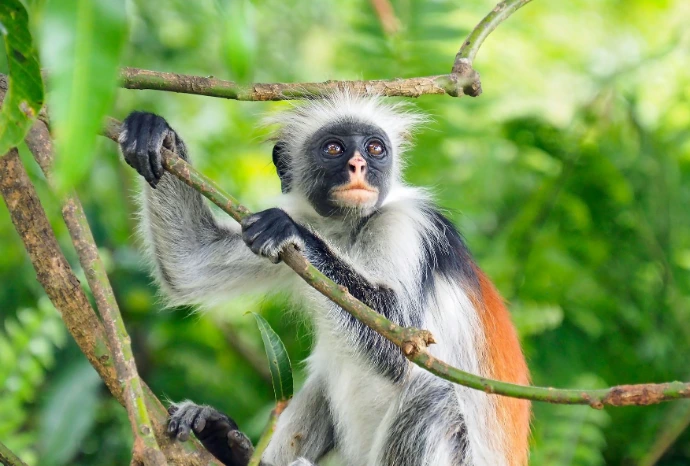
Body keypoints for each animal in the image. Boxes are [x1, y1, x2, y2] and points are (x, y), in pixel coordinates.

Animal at [118, 92, 531, 466]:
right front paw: (157, 134)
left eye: (375, 148)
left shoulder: (406, 223)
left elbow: (405, 346)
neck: (350, 230)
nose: (358, 164)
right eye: (334, 148)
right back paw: (234, 449)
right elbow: (188, 265)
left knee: (435, 395)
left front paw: (293, 232)